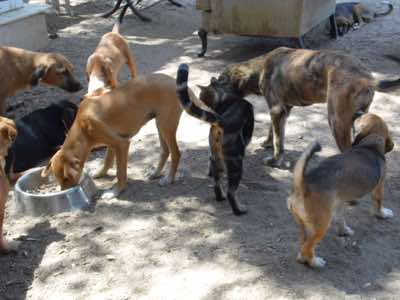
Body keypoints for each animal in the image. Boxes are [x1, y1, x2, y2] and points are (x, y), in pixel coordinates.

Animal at [40, 73, 184, 199]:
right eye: (59, 179)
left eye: (66, 178)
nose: (66, 192)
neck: (83, 128)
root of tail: (173, 81)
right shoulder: (112, 143)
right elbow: (107, 160)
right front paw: (100, 173)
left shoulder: (122, 144)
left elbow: (120, 172)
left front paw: (115, 191)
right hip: (160, 125)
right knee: (165, 151)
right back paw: (155, 173)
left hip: (166, 126)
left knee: (176, 153)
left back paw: (168, 179)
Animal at [177, 63, 255, 216]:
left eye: (202, 97)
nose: (206, 106)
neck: (226, 98)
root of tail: (222, 120)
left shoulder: (210, 153)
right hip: (235, 161)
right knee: (231, 191)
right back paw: (239, 210)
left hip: (216, 156)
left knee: (216, 183)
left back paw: (220, 197)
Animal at [211, 48, 400, 168]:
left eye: (220, 81)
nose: (210, 84)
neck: (260, 66)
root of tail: (368, 77)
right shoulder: (283, 110)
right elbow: (273, 132)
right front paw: (267, 143)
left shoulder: (276, 110)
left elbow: (278, 141)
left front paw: (275, 161)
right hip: (356, 120)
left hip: (337, 121)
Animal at [288, 113, 394, 268]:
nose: (357, 113)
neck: (370, 145)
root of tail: (302, 184)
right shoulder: (379, 187)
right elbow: (379, 204)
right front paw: (383, 214)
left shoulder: (340, 201)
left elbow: (340, 218)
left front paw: (343, 231)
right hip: (321, 225)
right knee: (307, 247)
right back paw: (315, 262)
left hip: (303, 226)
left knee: (302, 246)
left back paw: (304, 259)